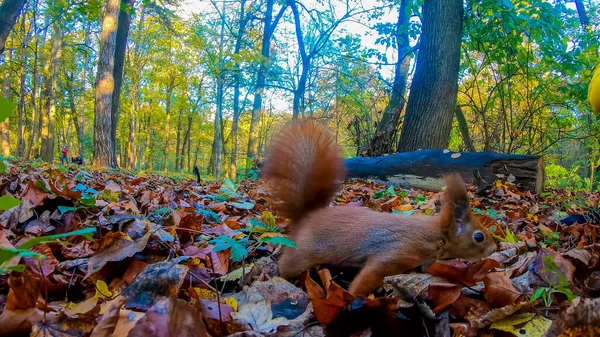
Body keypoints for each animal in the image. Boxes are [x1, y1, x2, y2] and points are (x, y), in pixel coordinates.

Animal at [262, 118, 496, 294]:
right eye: (478, 236)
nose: (494, 248)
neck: (434, 234)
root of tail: (308, 216)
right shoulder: (397, 253)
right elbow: (371, 274)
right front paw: (352, 296)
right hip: (304, 252)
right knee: (288, 265)